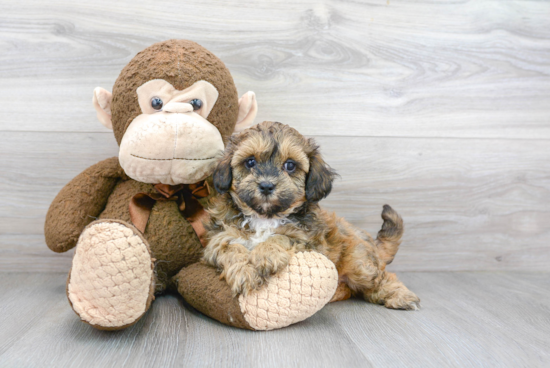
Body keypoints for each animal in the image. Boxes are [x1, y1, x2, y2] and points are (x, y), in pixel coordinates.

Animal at [205, 121, 420, 310]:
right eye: (250, 162)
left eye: (290, 166)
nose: (266, 185)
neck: (265, 217)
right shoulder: (218, 238)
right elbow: (230, 248)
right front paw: (244, 272)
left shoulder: (309, 242)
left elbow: (281, 237)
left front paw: (266, 254)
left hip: (360, 264)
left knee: (381, 278)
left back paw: (401, 296)